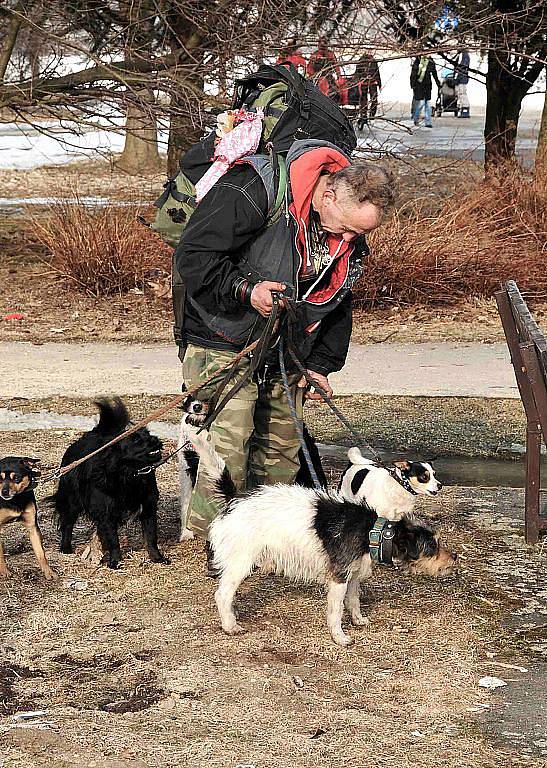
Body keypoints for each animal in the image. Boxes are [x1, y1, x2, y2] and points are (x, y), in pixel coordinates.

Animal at [56, 396, 169, 568]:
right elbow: (113, 540)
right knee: (67, 523)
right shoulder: (106, 513)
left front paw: (157, 558)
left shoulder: (148, 507)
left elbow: (151, 537)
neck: (130, 474)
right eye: (136, 441)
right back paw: (65, 548)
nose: (154, 440)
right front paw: (115, 561)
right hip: (71, 501)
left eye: (148, 434)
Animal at [181, 424, 458, 644]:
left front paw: (358, 620)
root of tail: (236, 499)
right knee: (222, 594)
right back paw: (230, 625)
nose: (454, 558)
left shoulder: (353, 576)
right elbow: (335, 612)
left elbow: (353, 601)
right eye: (431, 547)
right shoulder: (338, 578)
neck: (373, 531)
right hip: (241, 563)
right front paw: (340, 637)